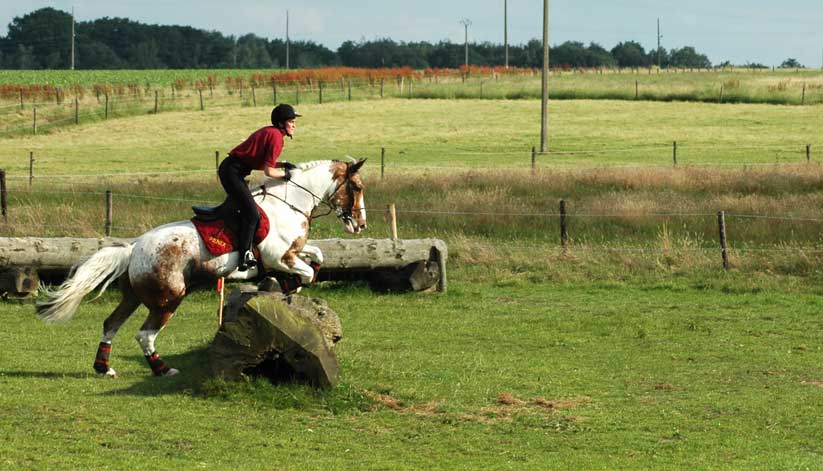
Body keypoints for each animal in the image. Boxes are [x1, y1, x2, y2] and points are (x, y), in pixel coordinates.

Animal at [36, 158, 367, 378]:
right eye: (357, 186)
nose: (361, 225)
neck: (290, 202)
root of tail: (133, 249)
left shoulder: (293, 250)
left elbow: (317, 255)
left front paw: (289, 284)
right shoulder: (278, 255)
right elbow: (306, 272)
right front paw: (287, 285)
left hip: (133, 296)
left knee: (111, 324)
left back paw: (103, 368)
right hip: (168, 299)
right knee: (144, 335)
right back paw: (162, 369)